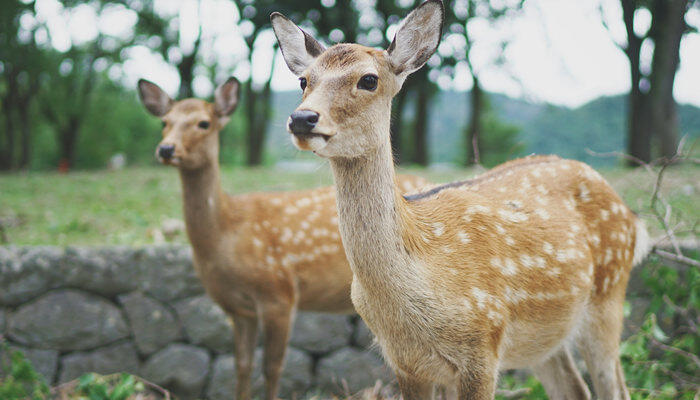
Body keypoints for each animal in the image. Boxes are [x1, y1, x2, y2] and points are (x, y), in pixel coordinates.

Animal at [135, 78, 426, 400]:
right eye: (164, 122)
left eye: (203, 123)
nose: (166, 149)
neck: (226, 233)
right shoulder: (238, 308)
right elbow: (242, 365)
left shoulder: (279, 292)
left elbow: (273, 367)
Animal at [272, 1, 652, 398]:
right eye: (304, 80)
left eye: (369, 80)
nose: (302, 117)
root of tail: (632, 218)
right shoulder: (405, 362)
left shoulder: (483, 343)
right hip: (544, 338)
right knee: (575, 388)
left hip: (608, 296)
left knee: (615, 386)